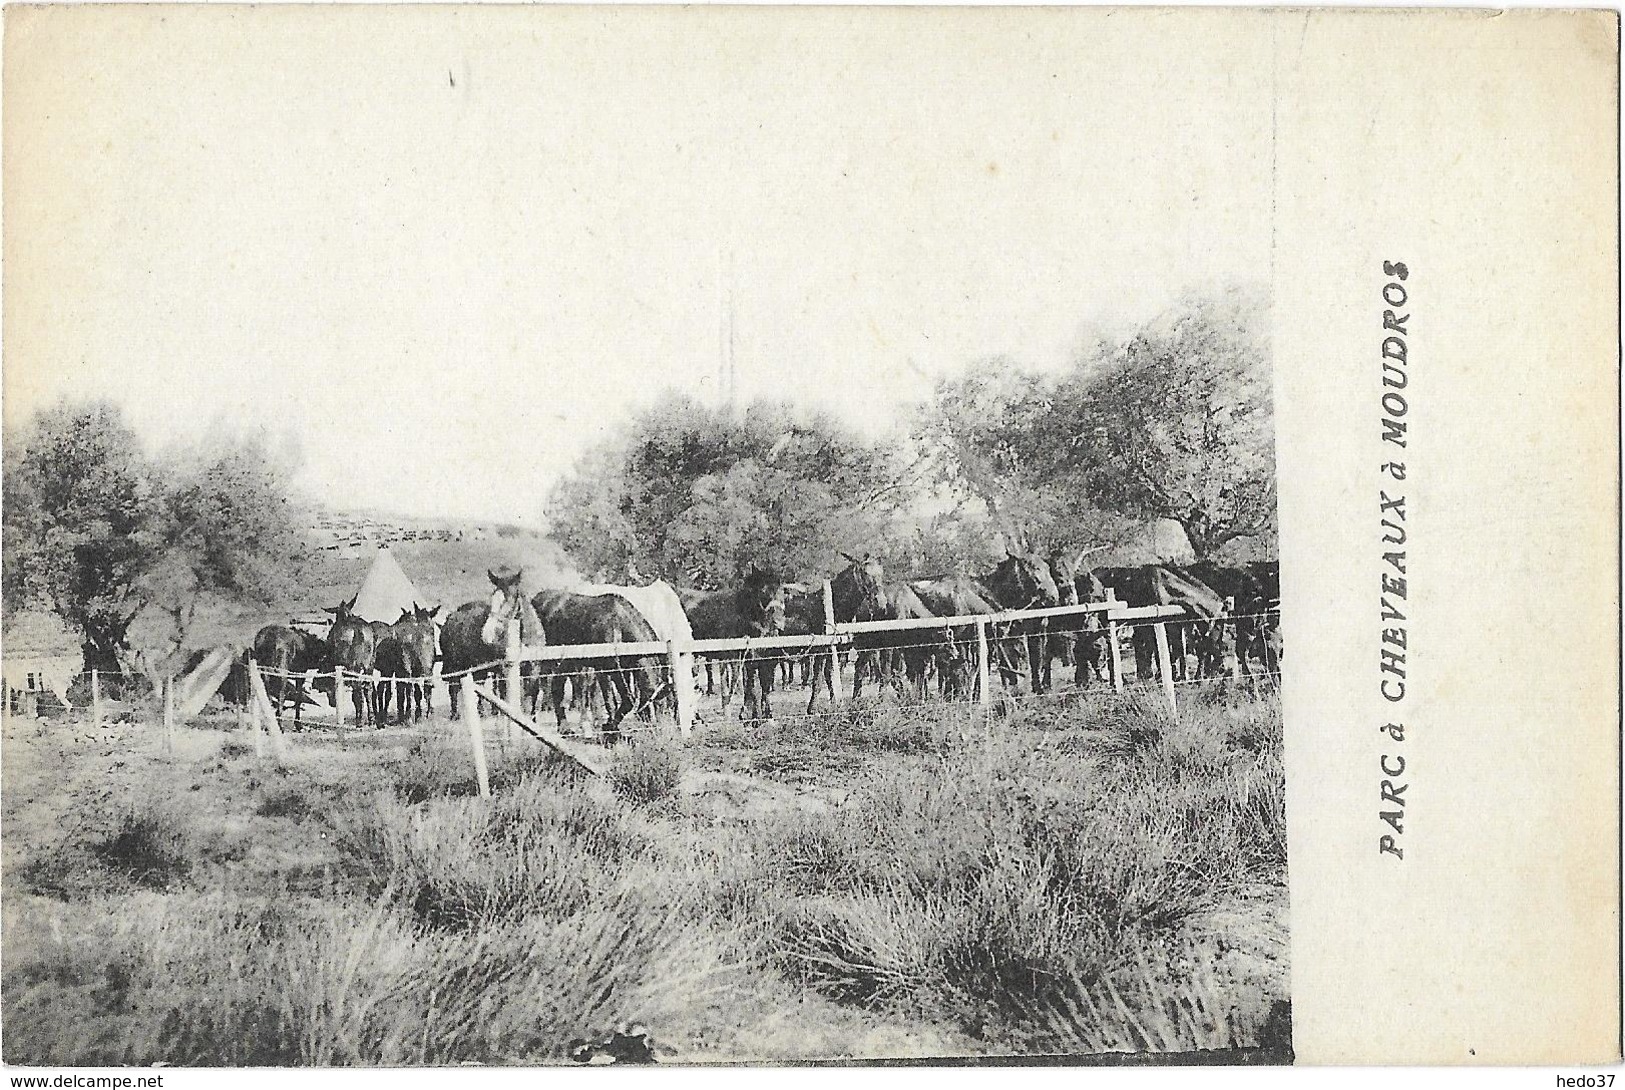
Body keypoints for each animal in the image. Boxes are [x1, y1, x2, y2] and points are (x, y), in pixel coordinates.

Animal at [529, 591, 663, 747]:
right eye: (652, 704)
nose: (656, 732)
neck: (619, 624)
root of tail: (539, 598)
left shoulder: (622, 672)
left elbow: (627, 700)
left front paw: (612, 730)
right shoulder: (603, 671)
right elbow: (612, 702)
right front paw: (610, 733)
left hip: (567, 662)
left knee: (557, 687)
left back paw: (564, 728)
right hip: (550, 659)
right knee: (536, 684)